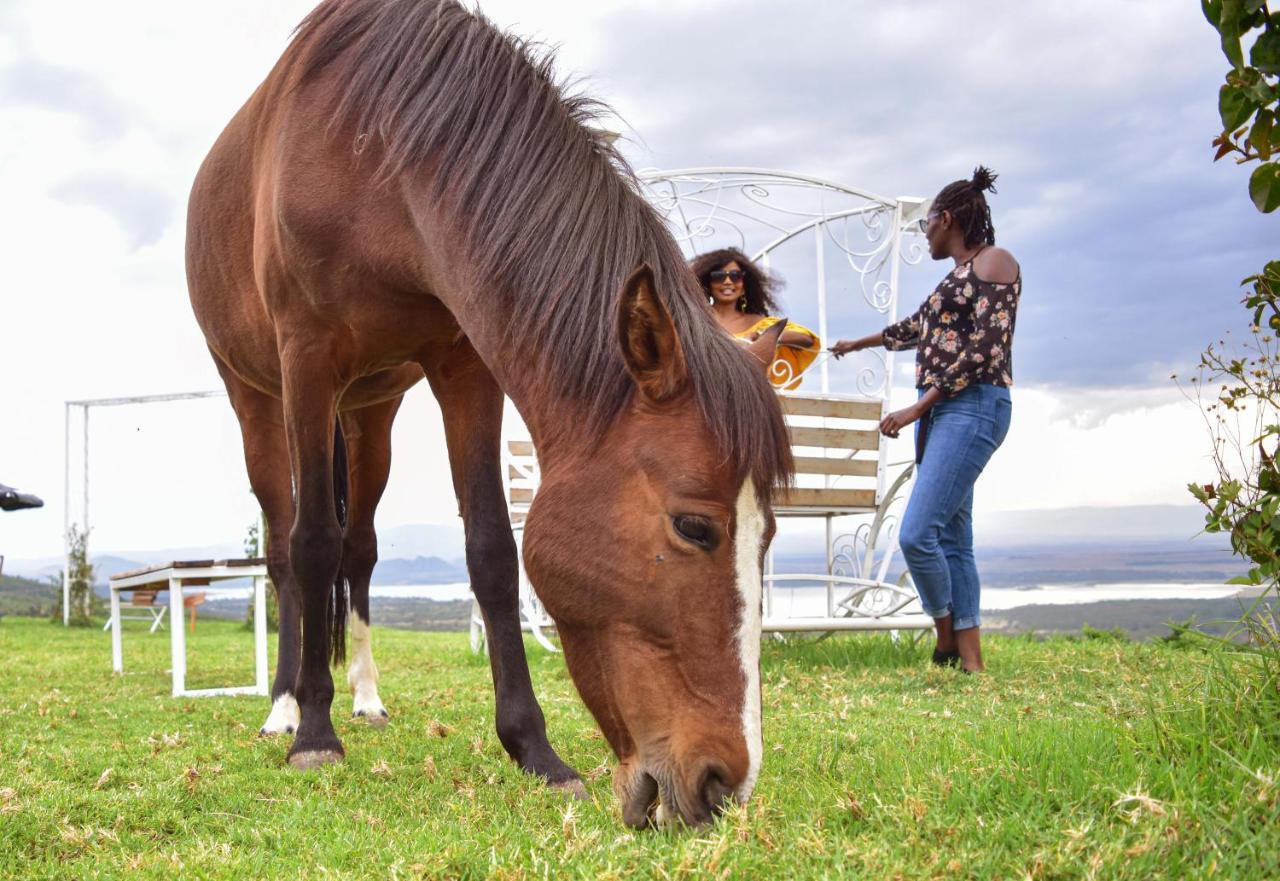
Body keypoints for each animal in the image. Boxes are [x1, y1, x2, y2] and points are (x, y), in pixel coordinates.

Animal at [185, 0, 793, 824]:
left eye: (770, 536)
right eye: (695, 526)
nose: (726, 784)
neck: (377, 154)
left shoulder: (465, 364)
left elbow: (492, 551)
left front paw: (536, 750)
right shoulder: (306, 359)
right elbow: (310, 545)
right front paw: (313, 734)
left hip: (371, 413)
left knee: (360, 550)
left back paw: (366, 697)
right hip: (259, 398)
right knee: (287, 546)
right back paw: (285, 706)